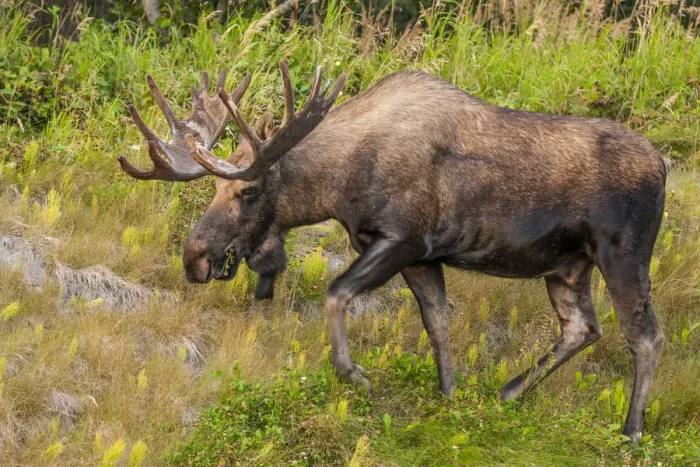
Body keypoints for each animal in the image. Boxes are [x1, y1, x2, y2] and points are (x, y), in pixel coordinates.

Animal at [118, 61, 667, 443]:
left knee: (645, 336)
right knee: (582, 328)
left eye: (246, 191)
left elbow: (336, 292)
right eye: (213, 189)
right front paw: (450, 395)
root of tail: (664, 165)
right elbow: (438, 324)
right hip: (567, 265)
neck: (338, 185)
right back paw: (508, 392)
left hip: (623, 254)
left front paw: (353, 373)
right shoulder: (421, 257)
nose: (195, 257)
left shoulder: (403, 240)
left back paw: (632, 430)